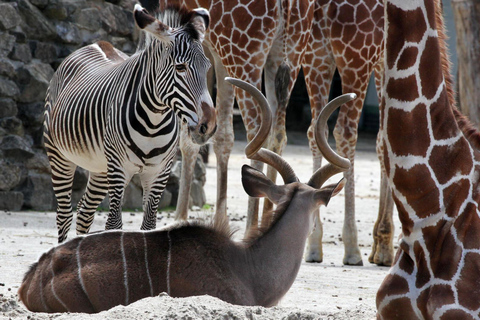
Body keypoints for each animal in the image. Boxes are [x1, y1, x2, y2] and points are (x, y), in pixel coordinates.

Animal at [44, 3, 217, 242]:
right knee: (64, 216)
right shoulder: (119, 169)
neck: (154, 122)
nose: (208, 126)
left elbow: (149, 225)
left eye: (208, 67)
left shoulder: (159, 172)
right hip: (59, 156)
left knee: (84, 213)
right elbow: (114, 224)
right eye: (180, 67)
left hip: (100, 167)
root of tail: (97, 44)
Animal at [304, 0, 394, 264]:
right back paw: (352, 248)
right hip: (356, 59)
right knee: (345, 131)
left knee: (316, 128)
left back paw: (314, 244)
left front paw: (379, 246)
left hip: (315, 57)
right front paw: (384, 248)